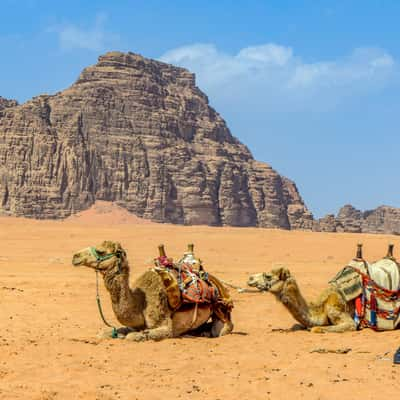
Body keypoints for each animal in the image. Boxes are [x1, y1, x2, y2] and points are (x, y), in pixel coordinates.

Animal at [72, 241, 234, 340]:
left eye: (100, 251)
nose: (75, 256)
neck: (140, 303)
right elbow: (106, 333)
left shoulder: (164, 326)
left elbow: (136, 336)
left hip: (221, 310)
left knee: (222, 328)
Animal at [247, 244, 400, 334]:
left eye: (268, 276)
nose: (250, 278)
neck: (320, 308)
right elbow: (299, 326)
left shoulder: (339, 313)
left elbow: (315, 328)